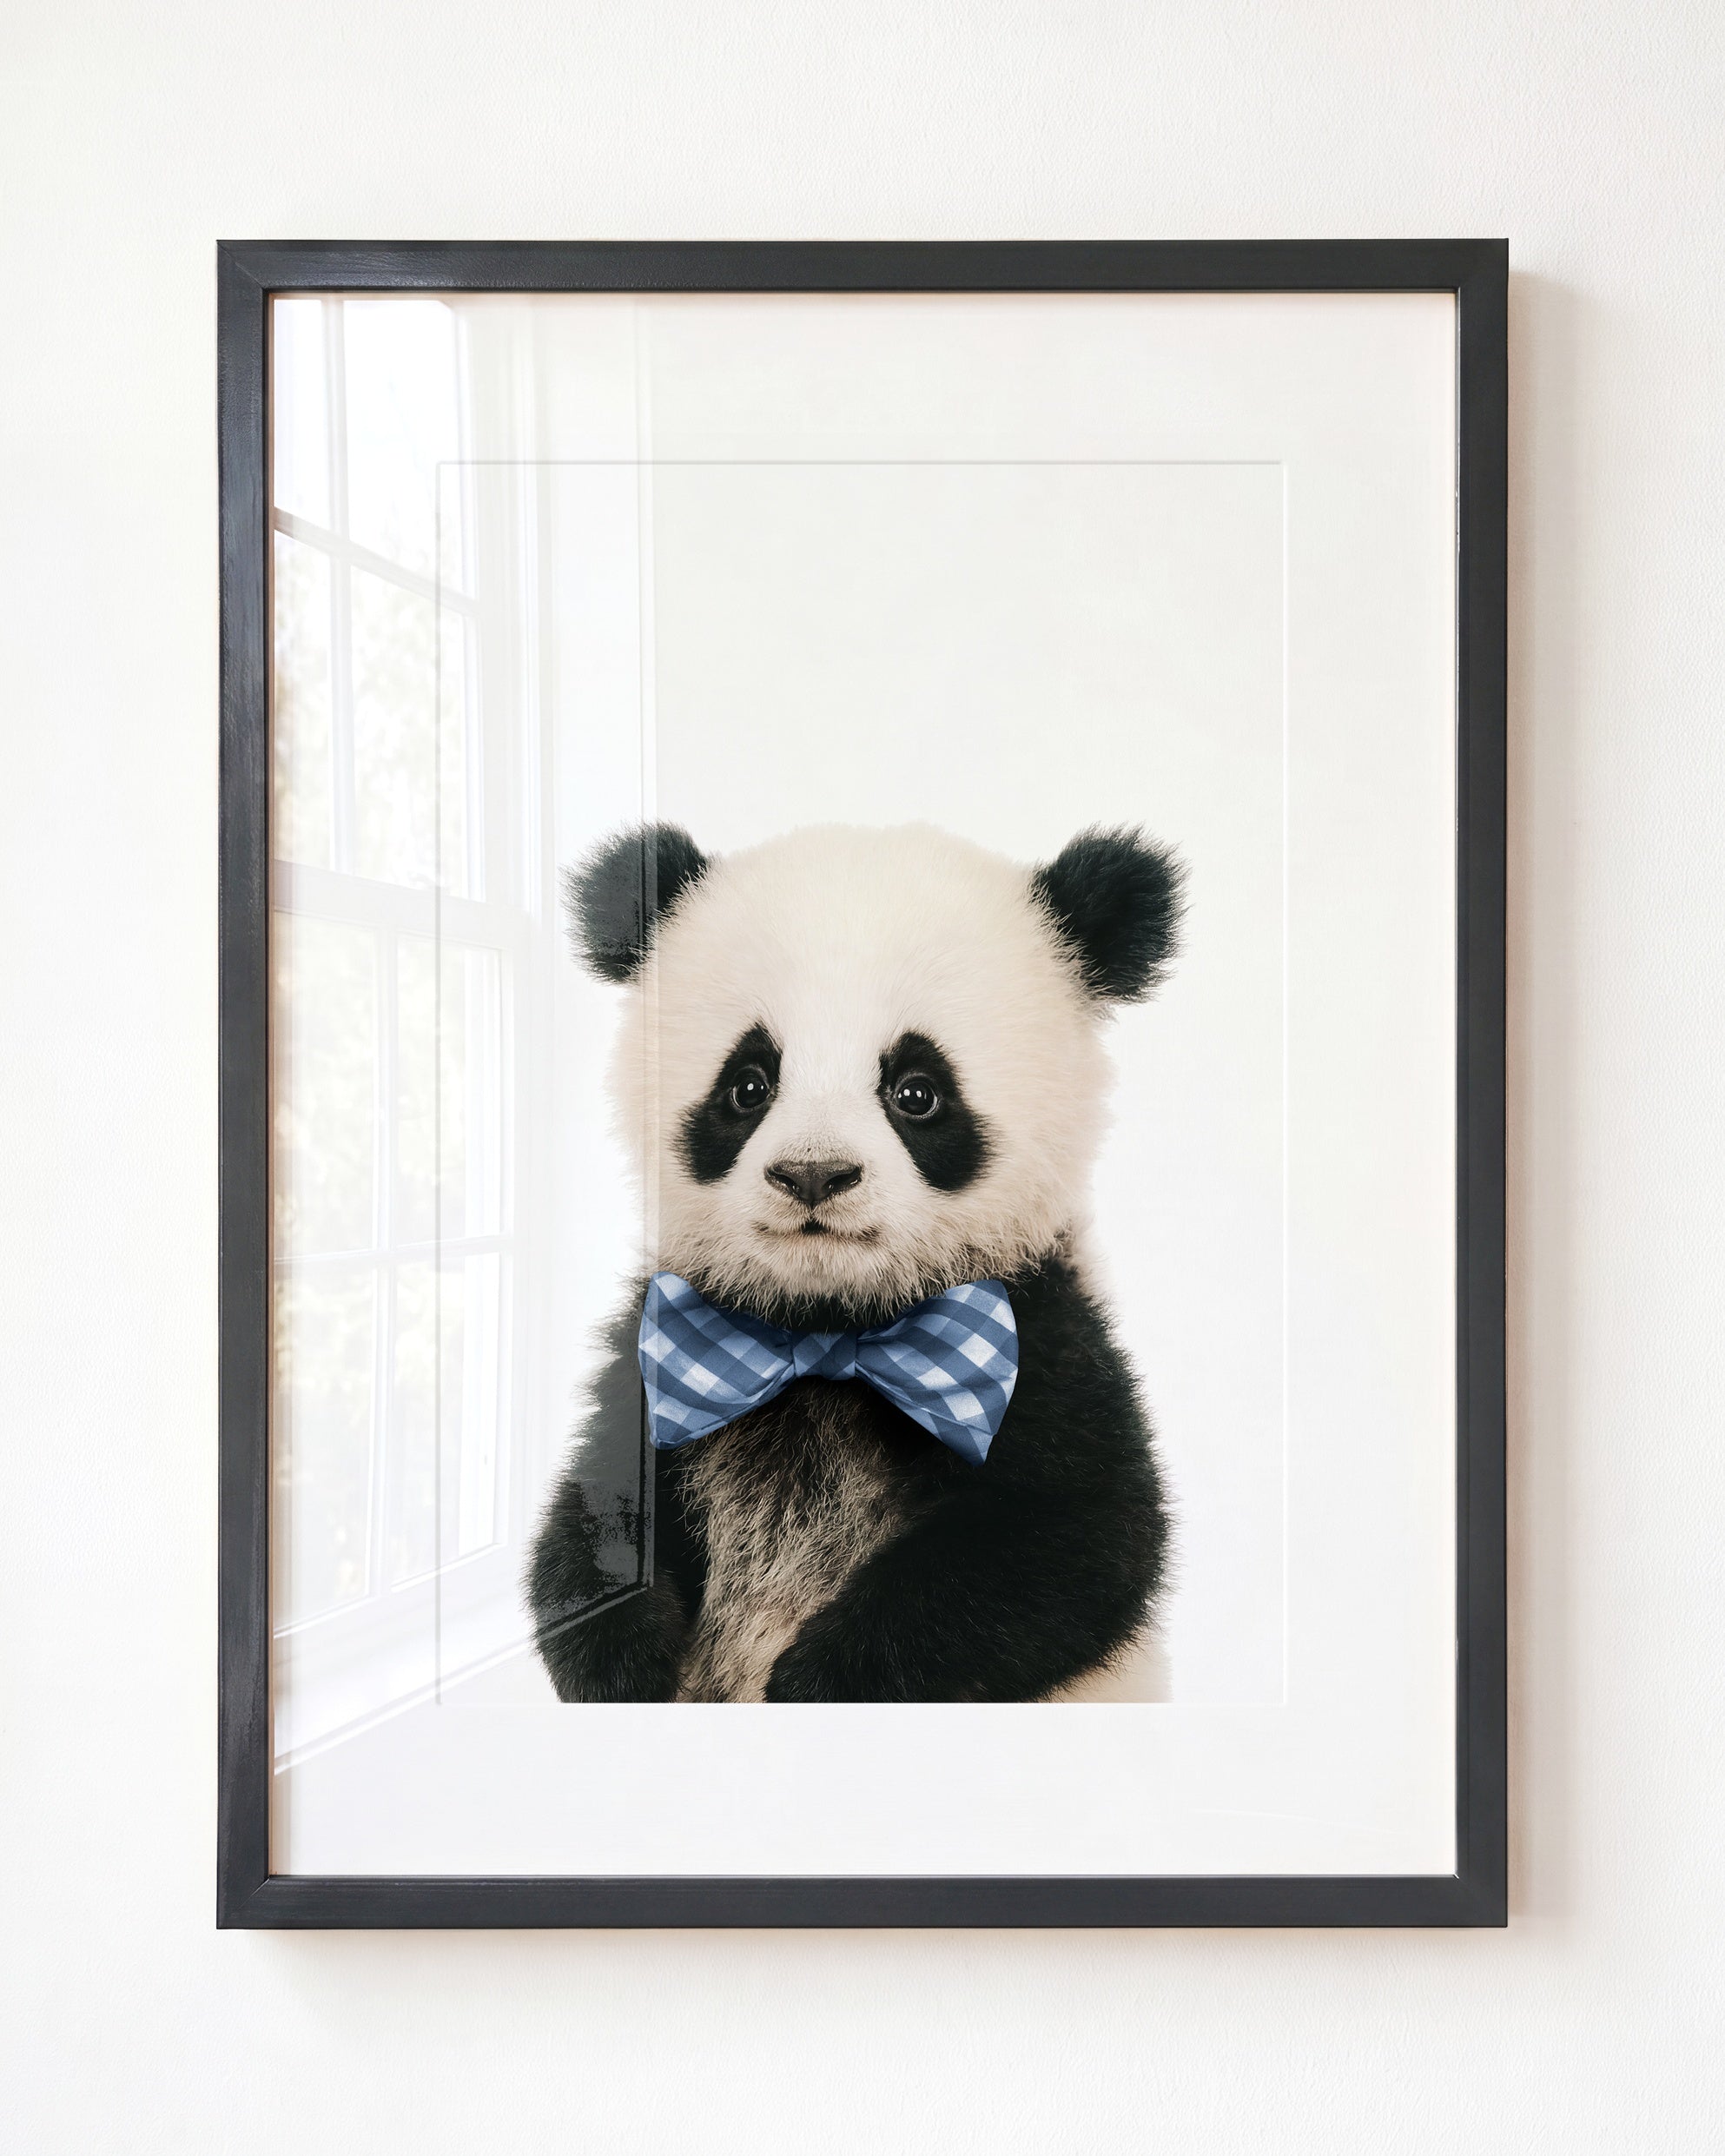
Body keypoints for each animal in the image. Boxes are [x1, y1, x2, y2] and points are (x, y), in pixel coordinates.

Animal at [527, 818, 1183, 1703]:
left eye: (917, 1091)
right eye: (748, 1085)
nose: (814, 1174)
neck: (828, 1333)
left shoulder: (1045, 1339)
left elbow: (1075, 1540)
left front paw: (817, 1680)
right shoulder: (659, 1347)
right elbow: (591, 1515)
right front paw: (624, 1663)